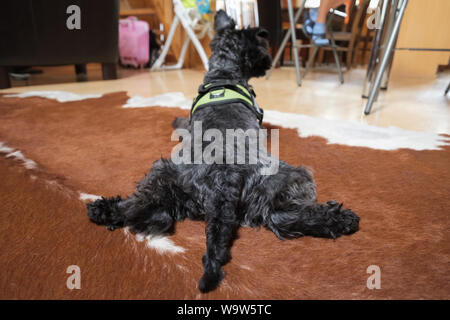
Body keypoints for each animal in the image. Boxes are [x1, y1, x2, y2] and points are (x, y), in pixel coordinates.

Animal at [87, 11, 358, 294]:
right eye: (261, 44)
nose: (267, 62)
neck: (223, 74)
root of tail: (224, 175)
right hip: (292, 176)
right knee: (283, 216)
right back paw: (342, 219)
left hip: (163, 172)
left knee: (142, 206)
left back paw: (104, 210)